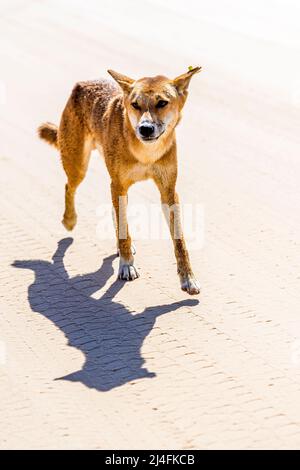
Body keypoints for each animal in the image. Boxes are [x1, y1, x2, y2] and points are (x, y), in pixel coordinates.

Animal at [38, 67, 202, 294]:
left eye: (162, 103)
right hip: (78, 166)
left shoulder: (168, 191)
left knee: (113, 211)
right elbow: (124, 228)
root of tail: (83, 83)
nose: (145, 128)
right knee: (69, 187)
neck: (146, 153)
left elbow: (180, 242)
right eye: (135, 104)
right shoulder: (119, 184)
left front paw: (188, 278)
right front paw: (126, 265)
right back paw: (69, 220)